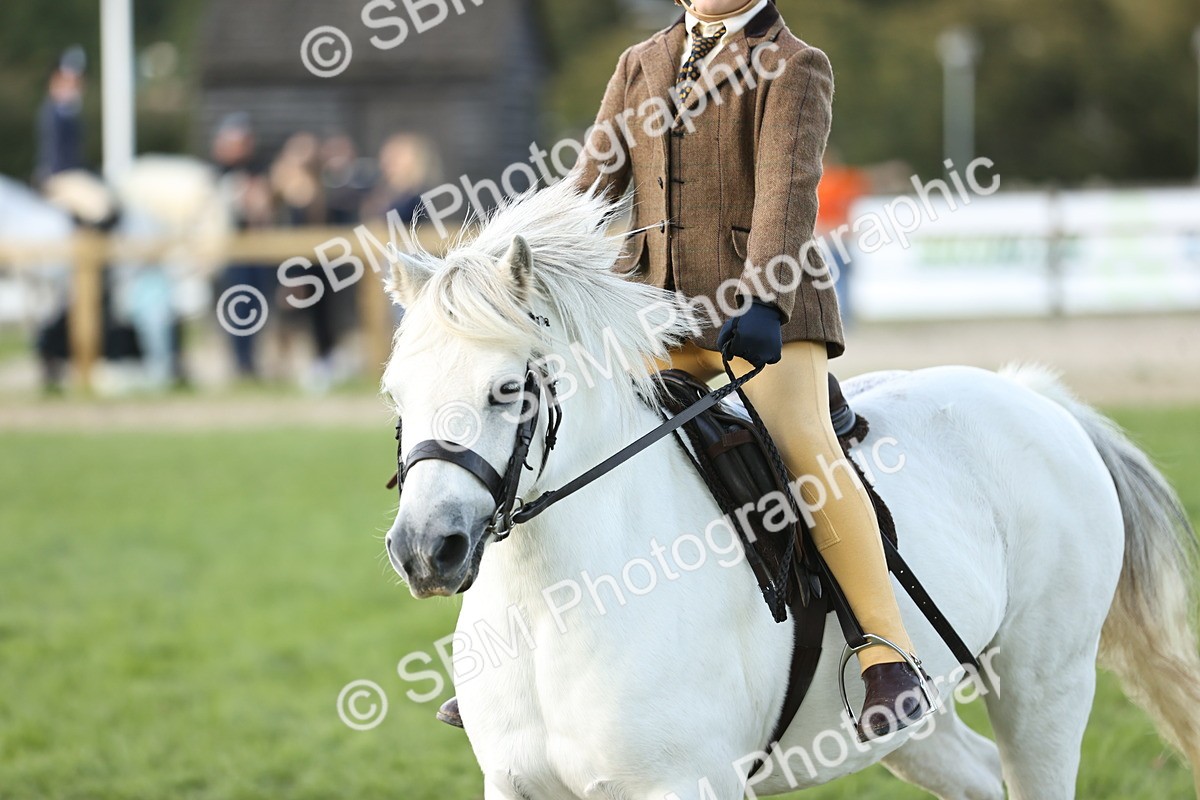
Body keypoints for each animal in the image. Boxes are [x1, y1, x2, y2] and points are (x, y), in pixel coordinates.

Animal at [380, 179, 1200, 800]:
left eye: (508, 389)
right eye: (395, 394)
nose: (425, 549)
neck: (553, 606)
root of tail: (1029, 394)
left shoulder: (686, 784)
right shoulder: (518, 786)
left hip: (1043, 686)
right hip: (915, 719)